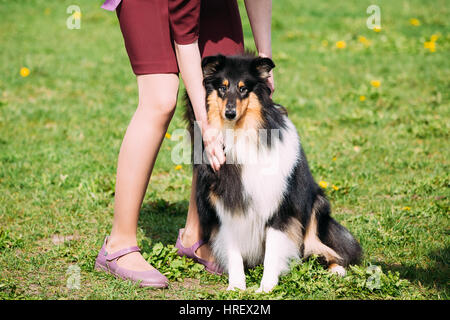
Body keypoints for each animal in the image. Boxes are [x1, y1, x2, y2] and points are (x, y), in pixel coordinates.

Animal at [184, 52, 362, 292]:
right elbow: (233, 253)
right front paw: (236, 287)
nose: (230, 113)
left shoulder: (279, 209)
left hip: (317, 205)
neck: (240, 135)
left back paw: (336, 270)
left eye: (243, 89)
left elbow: (272, 253)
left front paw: (266, 288)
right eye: (222, 88)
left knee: (326, 248)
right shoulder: (225, 209)